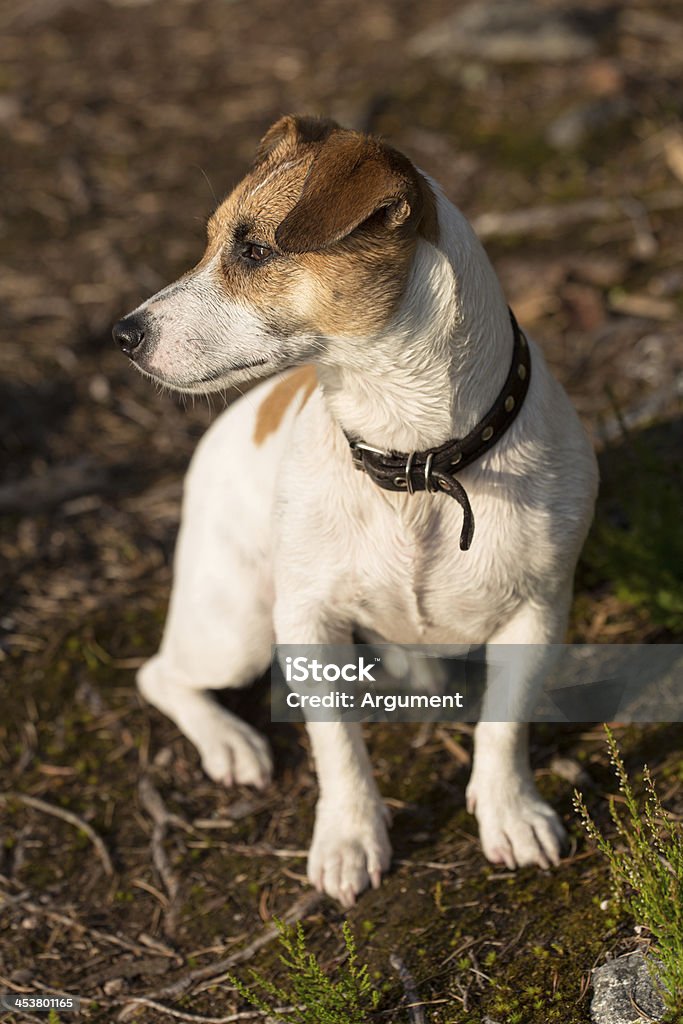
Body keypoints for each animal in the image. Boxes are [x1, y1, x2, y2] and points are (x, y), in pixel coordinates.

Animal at [112, 116, 598, 909]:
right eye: (212, 242)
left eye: (254, 251)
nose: (122, 335)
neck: (416, 458)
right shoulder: (306, 620)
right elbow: (337, 746)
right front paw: (348, 839)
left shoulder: (537, 611)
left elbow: (503, 723)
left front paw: (509, 812)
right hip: (236, 626)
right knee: (160, 674)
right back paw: (231, 743)